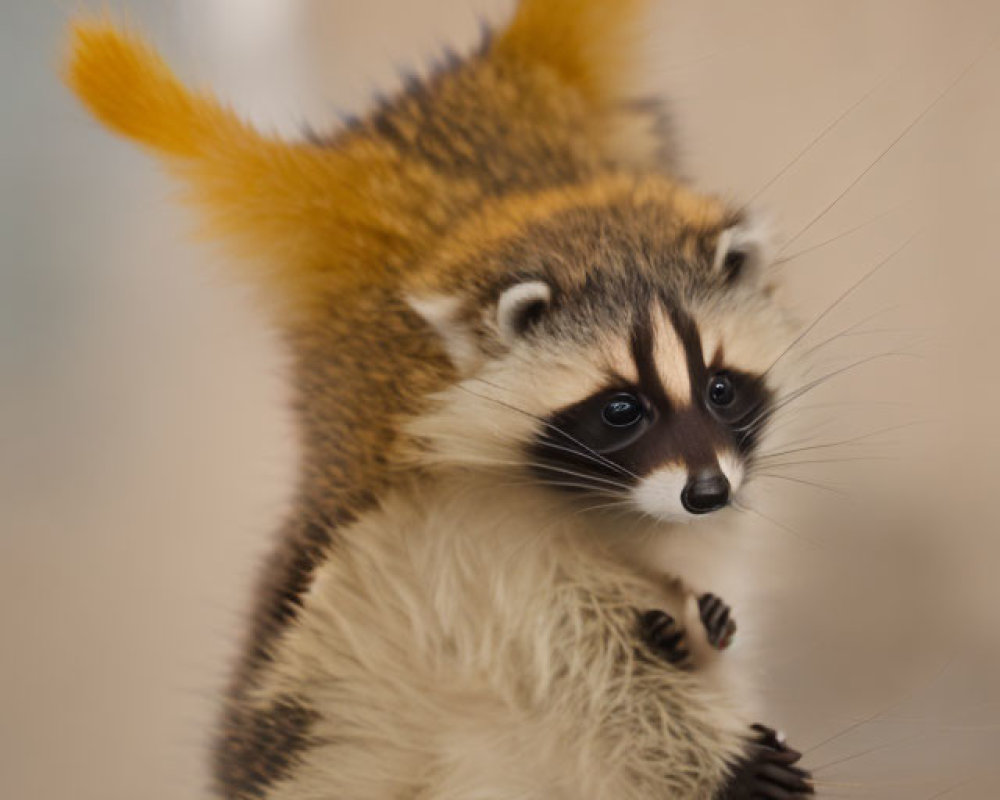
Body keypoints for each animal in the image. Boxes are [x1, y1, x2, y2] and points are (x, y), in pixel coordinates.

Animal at [70, 1, 816, 800]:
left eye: (721, 388)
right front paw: (707, 748)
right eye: (621, 409)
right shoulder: (449, 542)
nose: (707, 493)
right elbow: (575, 661)